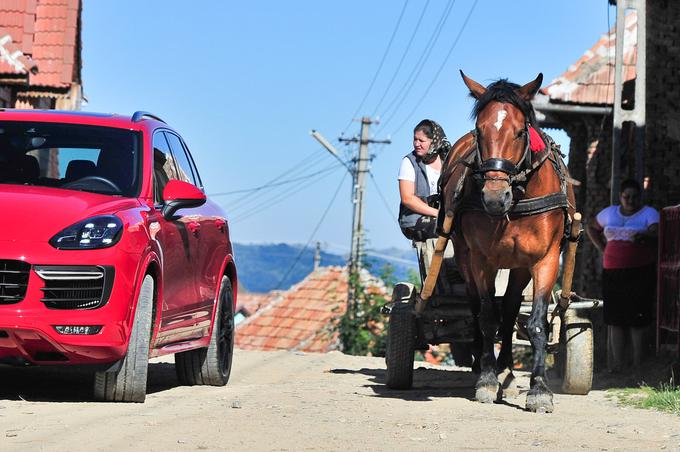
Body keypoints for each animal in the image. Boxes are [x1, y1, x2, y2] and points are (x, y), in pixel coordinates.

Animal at [440, 71, 572, 414]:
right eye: (479, 130)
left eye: (519, 131)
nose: (494, 197)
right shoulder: (479, 259)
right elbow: (487, 316)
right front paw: (487, 380)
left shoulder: (544, 259)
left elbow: (536, 323)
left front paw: (539, 389)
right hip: (465, 257)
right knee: (477, 307)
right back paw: (483, 365)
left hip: (519, 266)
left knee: (511, 309)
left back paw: (508, 369)